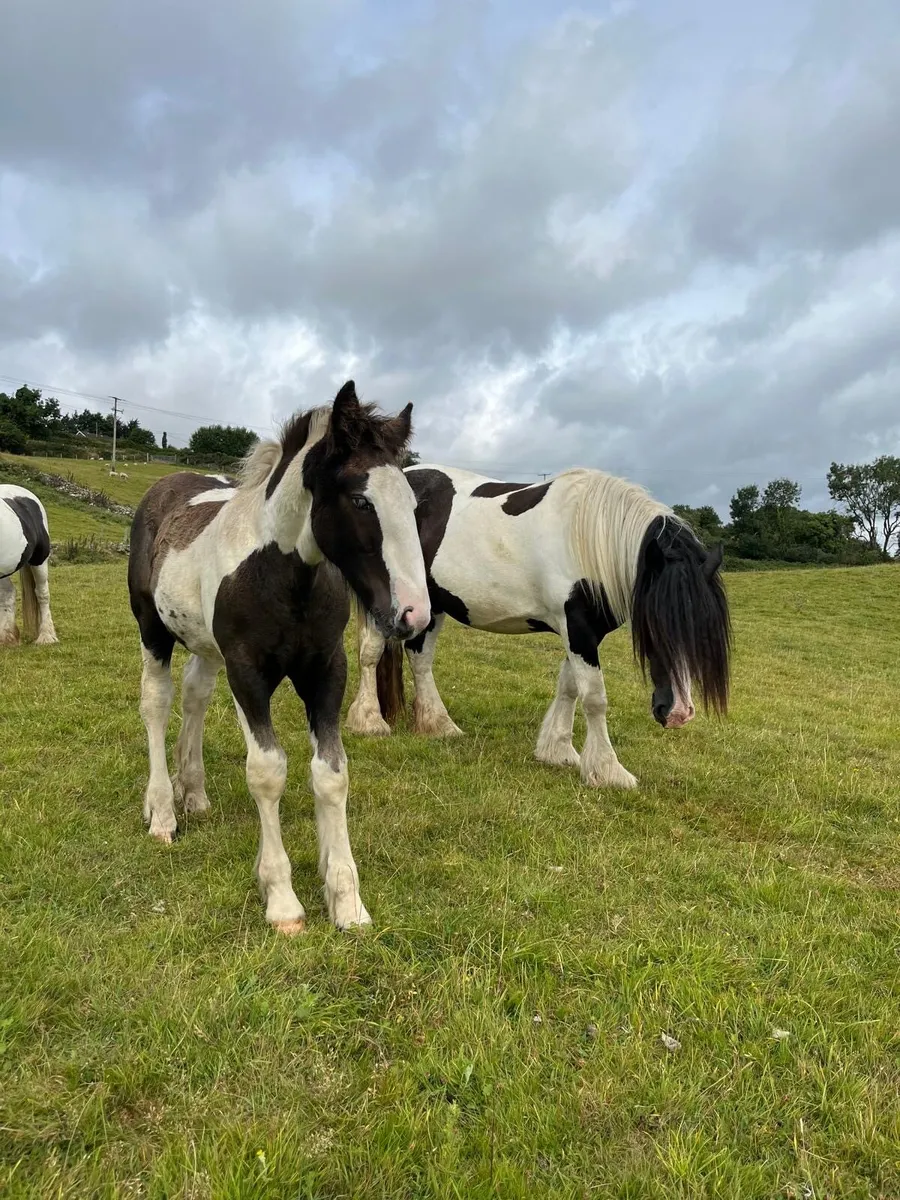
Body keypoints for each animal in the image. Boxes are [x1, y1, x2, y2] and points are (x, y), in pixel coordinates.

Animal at [127, 381, 430, 933]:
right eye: (360, 500)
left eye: (412, 503)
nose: (414, 614)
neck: (284, 574)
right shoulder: (249, 673)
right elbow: (267, 772)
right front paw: (283, 901)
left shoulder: (326, 671)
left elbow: (331, 774)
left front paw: (346, 900)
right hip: (152, 630)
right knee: (156, 703)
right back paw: (162, 811)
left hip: (207, 647)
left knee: (195, 697)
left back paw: (194, 794)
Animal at [346, 465, 731, 789]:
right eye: (652, 627)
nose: (678, 714)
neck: (588, 537)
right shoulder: (578, 629)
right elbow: (595, 698)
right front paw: (608, 771)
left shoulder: (580, 633)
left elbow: (569, 687)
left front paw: (557, 750)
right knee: (371, 653)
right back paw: (369, 721)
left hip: (431, 606)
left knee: (420, 659)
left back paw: (438, 726)